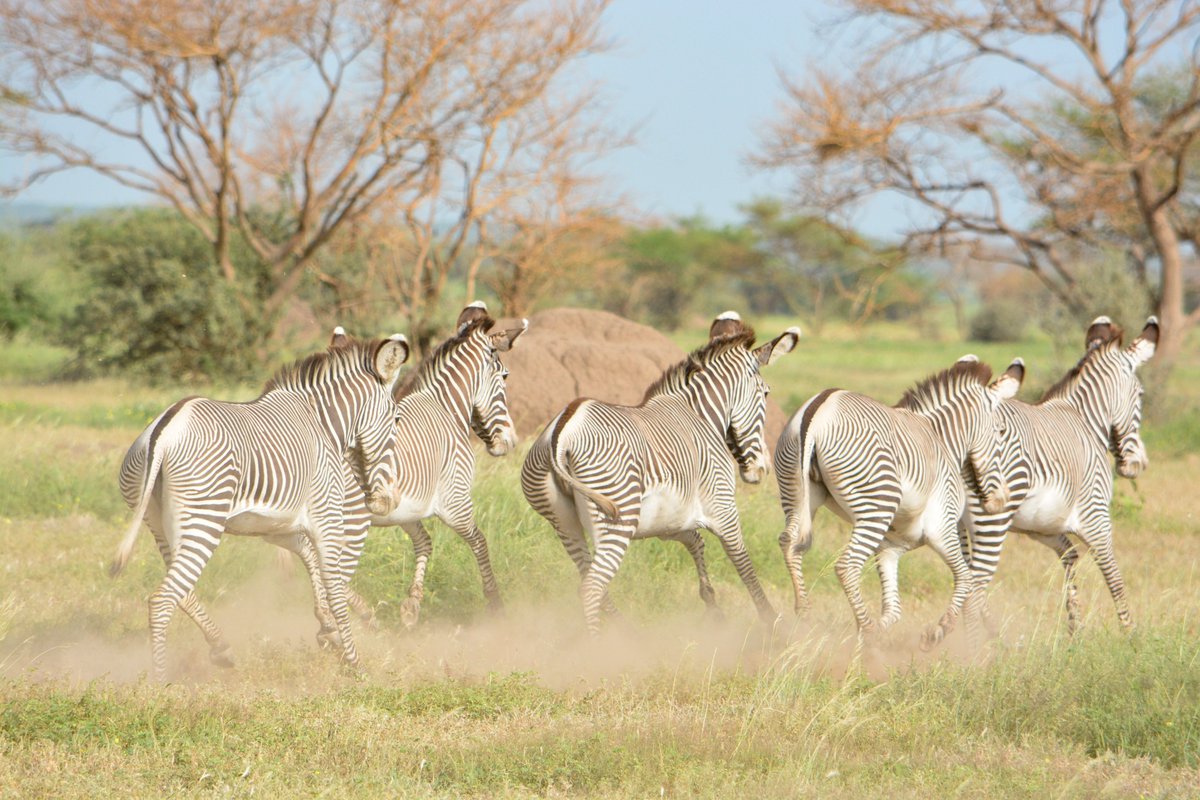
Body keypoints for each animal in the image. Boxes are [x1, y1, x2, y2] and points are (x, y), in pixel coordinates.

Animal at [112, 334, 410, 678]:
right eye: (396, 419)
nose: (390, 500)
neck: (324, 425)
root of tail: (164, 432)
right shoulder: (326, 517)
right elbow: (333, 583)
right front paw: (353, 661)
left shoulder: (278, 527)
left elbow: (311, 562)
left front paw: (329, 629)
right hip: (203, 520)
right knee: (161, 600)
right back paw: (162, 681)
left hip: (157, 521)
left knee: (182, 593)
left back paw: (220, 648)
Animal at [521, 311, 801, 633]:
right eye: (765, 394)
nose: (761, 470)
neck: (700, 415)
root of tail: (562, 434)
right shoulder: (722, 507)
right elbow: (743, 562)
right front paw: (772, 620)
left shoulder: (671, 519)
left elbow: (696, 542)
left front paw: (712, 605)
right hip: (616, 517)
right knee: (591, 587)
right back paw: (601, 643)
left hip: (563, 522)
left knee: (592, 580)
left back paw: (624, 630)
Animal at [775, 356, 1024, 646]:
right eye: (1001, 431)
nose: (1001, 501)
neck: (942, 440)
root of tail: (818, 413)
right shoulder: (942, 528)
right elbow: (966, 577)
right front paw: (939, 631)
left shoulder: (890, 546)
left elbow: (894, 610)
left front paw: (886, 633)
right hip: (876, 506)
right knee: (847, 566)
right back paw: (866, 632)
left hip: (796, 492)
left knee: (790, 542)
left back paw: (805, 614)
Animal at [964, 316, 1158, 633]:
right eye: (1141, 395)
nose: (1138, 464)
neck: (1084, 420)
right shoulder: (1096, 516)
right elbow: (1113, 573)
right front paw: (1130, 633)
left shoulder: (1043, 527)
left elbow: (1070, 558)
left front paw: (1075, 626)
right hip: (990, 517)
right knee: (974, 583)